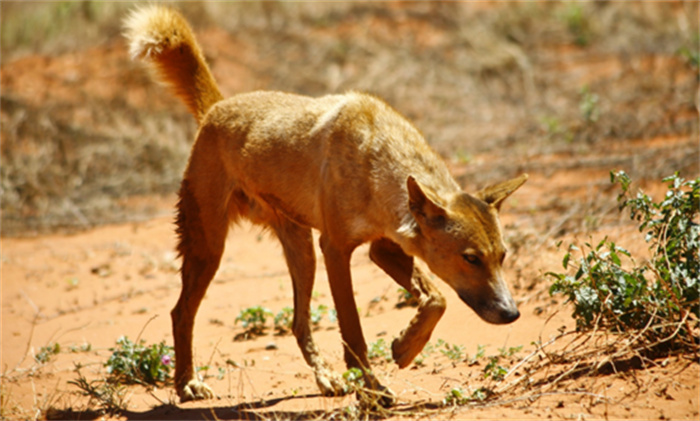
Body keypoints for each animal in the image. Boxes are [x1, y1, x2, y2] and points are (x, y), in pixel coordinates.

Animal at [124, 5, 524, 404]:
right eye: (470, 258)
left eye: (502, 256)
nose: (512, 314)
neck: (377, 157)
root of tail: (217, 107)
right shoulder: (335, 249)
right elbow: (354, 331)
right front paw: (372, 386)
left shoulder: (385, 248)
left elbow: (436, 299)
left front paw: (405, 347)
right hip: (210, 249)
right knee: (181, 313)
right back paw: (187, 383)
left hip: (301, 253)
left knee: (298, 324)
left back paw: (326, 378)